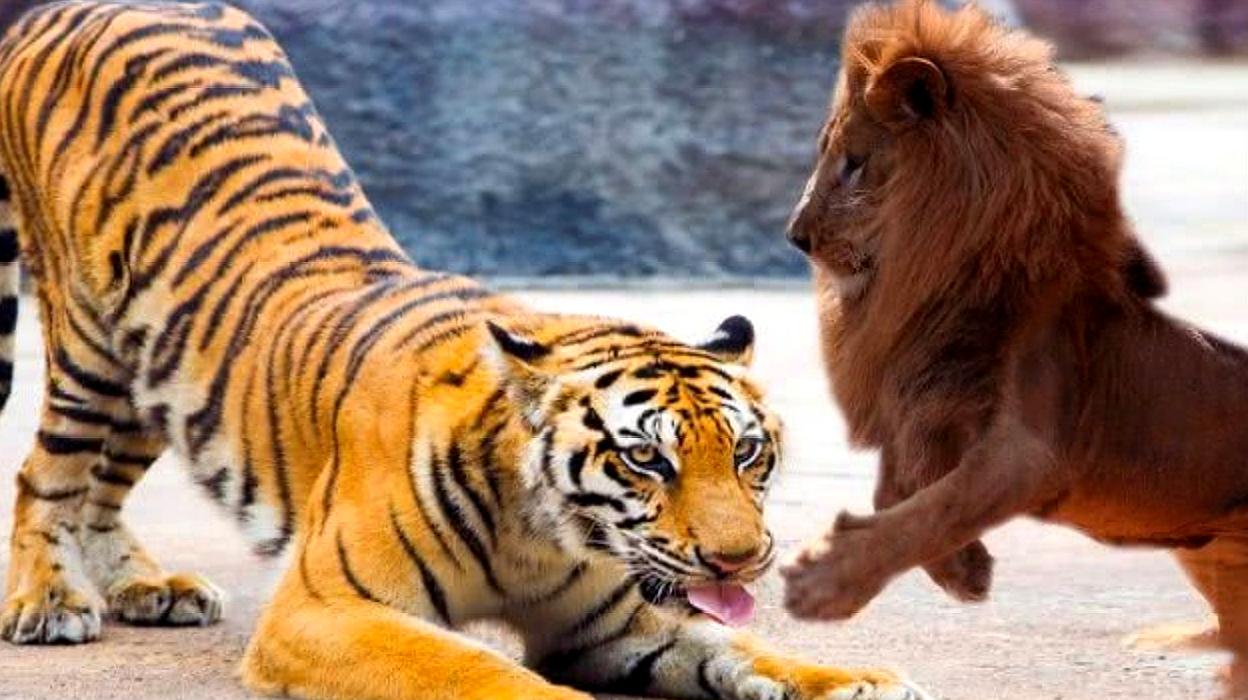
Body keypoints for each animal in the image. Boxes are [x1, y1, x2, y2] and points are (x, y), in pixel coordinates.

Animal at [0, 3, 930, 699]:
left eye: (746, 454)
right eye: (645, 460)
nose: (742, 558)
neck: (539, 533)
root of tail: (80, 5)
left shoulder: (613, 624)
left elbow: (739, 650)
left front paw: (856, 681)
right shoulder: (326, 608)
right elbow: (481, 672)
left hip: (157, 373)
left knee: (101, 490)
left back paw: (147, 589)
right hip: (87, 346)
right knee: (46, 477)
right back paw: (49, 603)